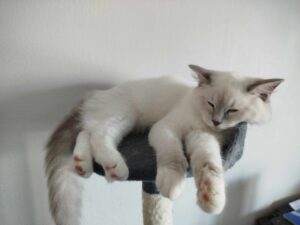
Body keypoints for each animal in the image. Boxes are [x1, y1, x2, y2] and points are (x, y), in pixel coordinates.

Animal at [45, 64, 284, 224]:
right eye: (210, 104)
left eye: (232, 110)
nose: (216, 121)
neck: (204, 125)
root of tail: (95, 94)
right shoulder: (167, 128)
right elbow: (174, 157)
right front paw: (171, 185)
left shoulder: (202, 138)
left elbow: (209, 165)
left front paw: (211, 199)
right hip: (124, 116)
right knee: (97, 135)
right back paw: (114, 167)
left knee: (85, 133)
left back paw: (82, 165)